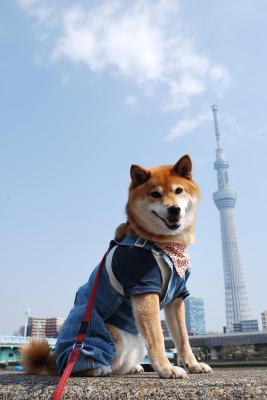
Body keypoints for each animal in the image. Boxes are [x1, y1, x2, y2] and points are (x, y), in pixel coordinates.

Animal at [21, 155, 214, 378]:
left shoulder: (177, 296)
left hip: (136, 343)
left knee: (119, 364)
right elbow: (157, 338)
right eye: (155, 194)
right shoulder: (144, 289)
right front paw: (166, 369)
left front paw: (194, 365)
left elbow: (183, 339)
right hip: (101, 333)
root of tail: (54, 360)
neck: (163, 244)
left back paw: (133, 367)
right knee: (77, 364)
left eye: (179, 190)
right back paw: (97, 369)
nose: (174, 209)